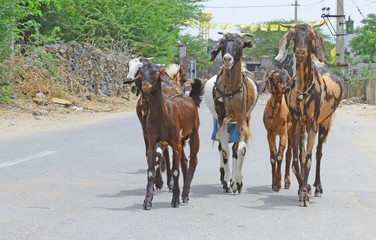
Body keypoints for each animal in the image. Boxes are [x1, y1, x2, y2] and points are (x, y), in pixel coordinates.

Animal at [138, 62, 201, 210]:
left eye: (156, 73)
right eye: (141, 73)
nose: (145, 85)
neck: (163, 116)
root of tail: (188, 97)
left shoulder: (174, 142)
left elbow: (175, 171)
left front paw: (175, 200)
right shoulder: (153, 141)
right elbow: (150, 171)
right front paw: (147, 201)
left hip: (194, 133)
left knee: (193, 160)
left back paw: (185, 194)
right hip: (181, 139)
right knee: (185, 161)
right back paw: (185, 192)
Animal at [204, 32, 260, 193]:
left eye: (241, 44)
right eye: (222, 43)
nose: (227, 59)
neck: (230, 90)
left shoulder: (242, 118)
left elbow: (240, 149)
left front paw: (237, 182)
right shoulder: (222, 118)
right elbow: (224, 151)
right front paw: (228, 182)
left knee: (235, 149)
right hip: (218, 119)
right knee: (221, 147)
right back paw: (224, 178)